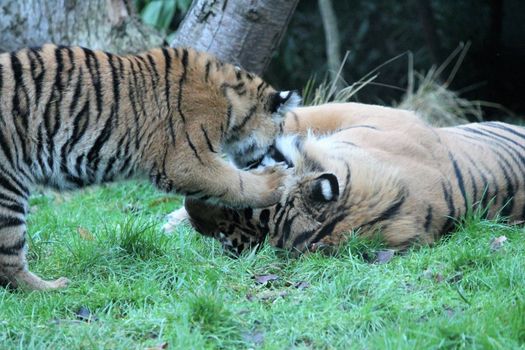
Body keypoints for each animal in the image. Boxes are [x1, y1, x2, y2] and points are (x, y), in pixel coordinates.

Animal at [0, 43, 298, 290]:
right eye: (274, 142)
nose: (285, 161)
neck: (232, 101)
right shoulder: (185, 160)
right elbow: (233, 181)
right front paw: (277, 182)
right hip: (8, 187)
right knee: (9, 262)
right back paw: (54, 288)